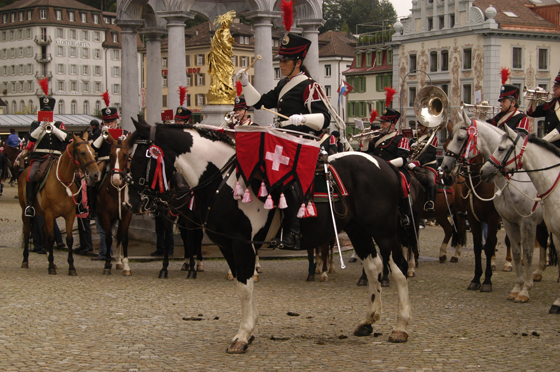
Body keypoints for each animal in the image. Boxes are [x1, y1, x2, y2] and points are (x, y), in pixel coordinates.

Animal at [17, 134, 100, 274]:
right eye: (83, 152)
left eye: (94, 153)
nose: (96, 174)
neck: (63, 182)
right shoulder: (50, 214)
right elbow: (51, 238)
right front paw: (50, 266)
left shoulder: (70, 215)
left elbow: (69, 239)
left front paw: (71, 267)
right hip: (27, 212)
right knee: (27, 231)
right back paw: (25, 260)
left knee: (44, 232)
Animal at [95, 135, 133, 274]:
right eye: (110, 155)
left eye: (126, 155)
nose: (116, 179)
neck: (117, 190)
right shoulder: (105, 215)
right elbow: (108, 238)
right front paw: (107, 264)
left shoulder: (127, 214)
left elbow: (124, 238)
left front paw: (126, 266)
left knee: (120, 236)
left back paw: (118, 261)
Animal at [127, 119, 414, 354]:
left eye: (139, 158)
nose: (132, 203)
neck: (222, 180)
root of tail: (386, 164)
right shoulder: (227, 246)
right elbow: (241, 285)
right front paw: (251, 328)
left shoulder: (241, 244)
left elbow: (245, 287)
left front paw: (243, 335)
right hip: (358, 230)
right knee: (374, 267)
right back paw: (368, 320)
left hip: (384, 231)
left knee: (398, 269)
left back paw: (400, 327)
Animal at [440, 112, 544, 304]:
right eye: (445, 143)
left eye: (460, 138)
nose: (446, 172)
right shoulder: (473, 218)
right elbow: (477, 247)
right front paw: (476, 279)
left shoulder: (496, 218)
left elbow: (489, 246)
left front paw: (487, 281)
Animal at [480, 125, 560, 314]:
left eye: (502, 148)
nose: (483, 171)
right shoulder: (510, 222)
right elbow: (517, 253)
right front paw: (517, 289)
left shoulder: (528, 223)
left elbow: (528, 253)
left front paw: (525, 291)